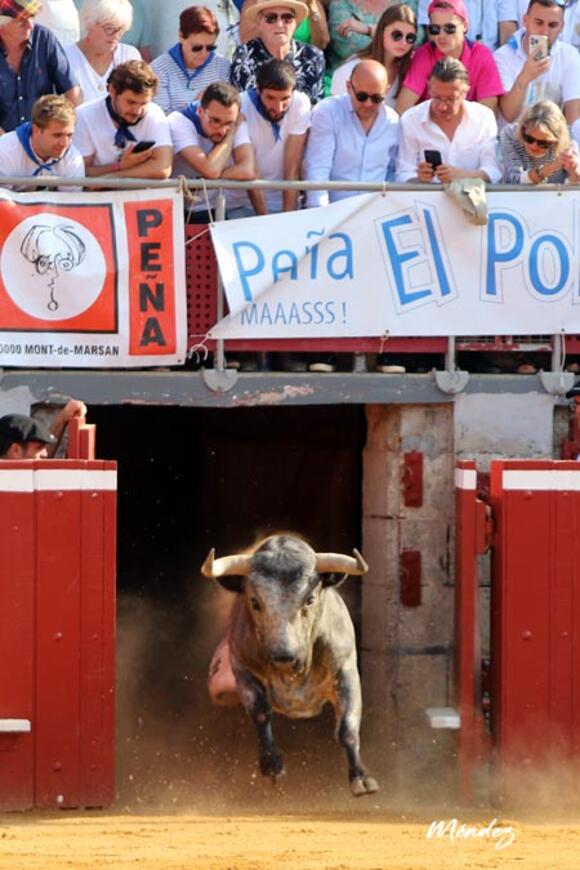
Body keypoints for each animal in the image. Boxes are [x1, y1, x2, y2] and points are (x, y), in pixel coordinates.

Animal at [202, 532, 378, 796]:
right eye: (255, 601)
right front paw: (272, 765)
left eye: (310, 599)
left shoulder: (346, 671)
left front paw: (361, 777)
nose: (284, 658)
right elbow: (261, 714)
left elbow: (347, 727)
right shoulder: (243, 671)